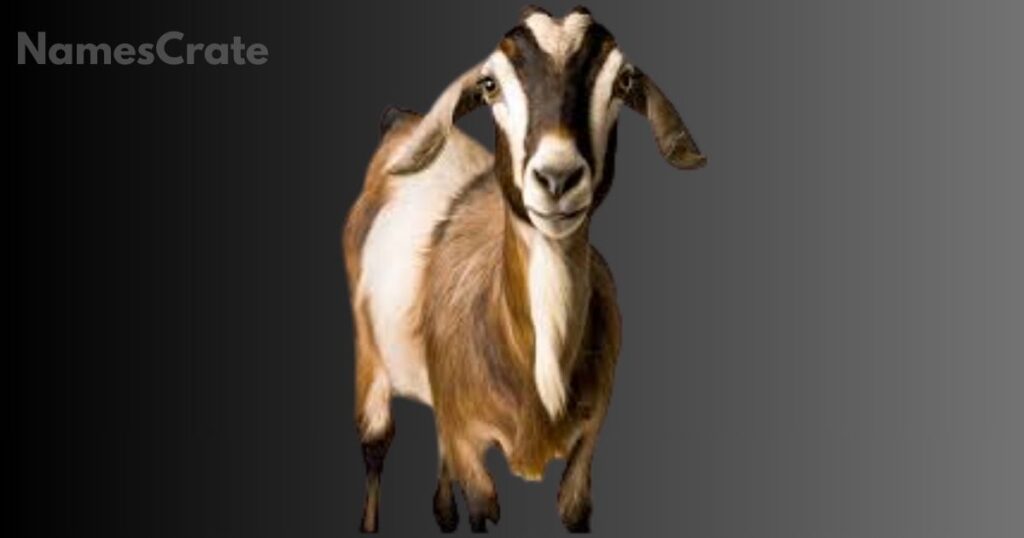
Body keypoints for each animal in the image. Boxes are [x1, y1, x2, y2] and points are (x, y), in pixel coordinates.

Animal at [343, 6, 706, 533]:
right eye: (489, 84)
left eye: (622, 81)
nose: (557, 178)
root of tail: (401, 125)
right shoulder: (472, 450)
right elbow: (478, 502)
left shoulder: (587, 444)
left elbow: (574, 506)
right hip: (371, 359)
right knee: (376, 444)